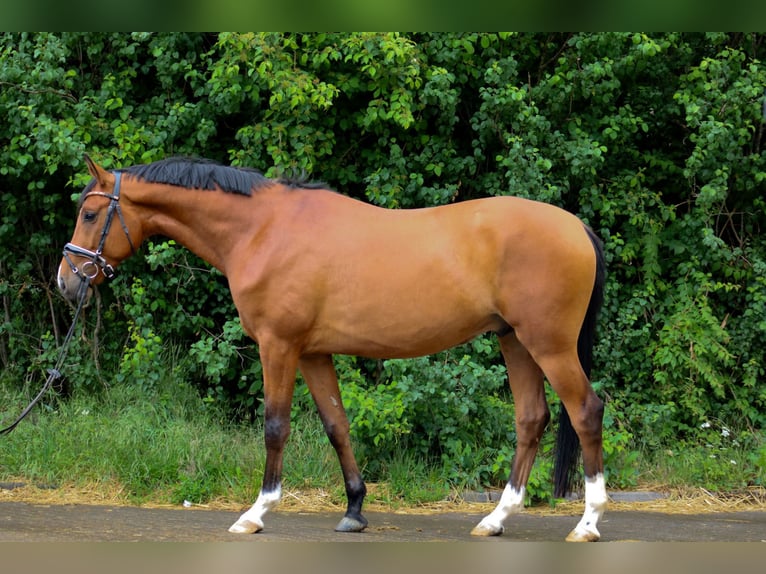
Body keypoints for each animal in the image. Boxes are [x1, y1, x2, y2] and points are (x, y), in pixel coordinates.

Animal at [57, 155, 607, 542]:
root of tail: (576, 226)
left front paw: (256, 512)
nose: (67, 282)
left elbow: (275, 427)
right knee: (531, 419)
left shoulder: (278, 346)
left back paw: (588, 522)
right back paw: (496, 518)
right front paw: (354, 510)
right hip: (515, 341)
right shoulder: (312, 353)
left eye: (90, 213)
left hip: (549, 344)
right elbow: (336, 426)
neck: (261, 229)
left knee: (585, 411)